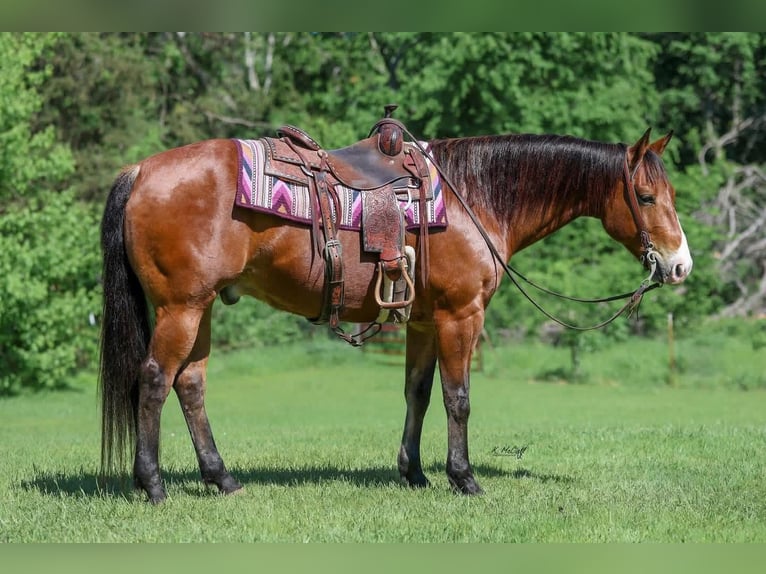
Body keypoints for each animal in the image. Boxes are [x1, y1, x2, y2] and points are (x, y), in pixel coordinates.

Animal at [99, 121, 692, 503]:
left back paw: (221, 479)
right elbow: (458, 399)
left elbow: (419, 393)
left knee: (190, 384)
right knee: (154, 381)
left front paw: (414, 473)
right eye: (645, 197)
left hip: (200, 308)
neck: (474, 196)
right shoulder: (460, 316)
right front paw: (463, 478)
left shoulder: (426, 321)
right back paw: (153, 485)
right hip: (181, 308)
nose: (679, 265)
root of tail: (142, 170)